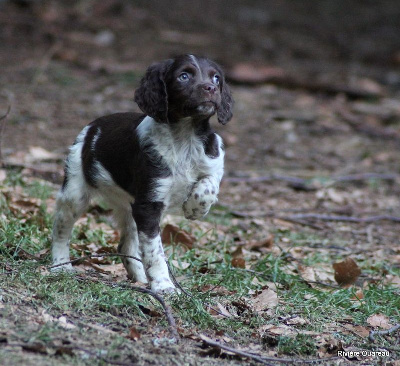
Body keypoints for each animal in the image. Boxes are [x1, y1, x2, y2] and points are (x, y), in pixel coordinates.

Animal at [51, 54, 233, 294]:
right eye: (183, 76)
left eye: (216, 77)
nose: (211, 88)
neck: (185, 137)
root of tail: (92, 127)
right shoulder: (149, 204)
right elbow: (155, 251)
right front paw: (164, 286)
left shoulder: (213, 162)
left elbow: (209, 184)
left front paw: (195, 208)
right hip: (75, 191)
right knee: (61, 229)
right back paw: (60, 266)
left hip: (129, 205)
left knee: (127, 244)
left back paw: (138, 278)